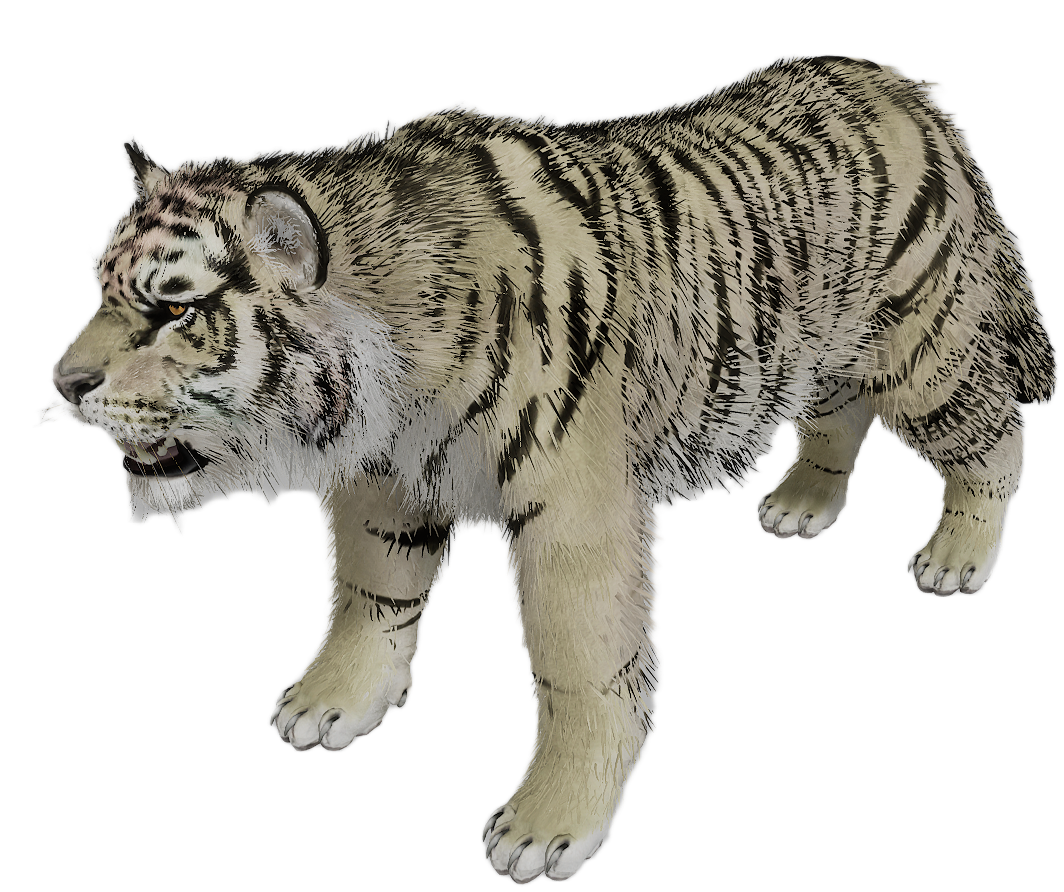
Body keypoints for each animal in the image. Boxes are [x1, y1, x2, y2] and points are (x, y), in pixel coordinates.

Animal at [36, 54, 1058, 884]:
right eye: (99, 286)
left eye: (173, 310)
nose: (63, 382)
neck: (390, 369)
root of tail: (905, 84)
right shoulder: (386, 479)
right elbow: (370, 594)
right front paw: (334, 705)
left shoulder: (575, 514)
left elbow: (580, 668)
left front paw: (546, 829)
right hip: (826, 345)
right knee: (839, 408)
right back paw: (802, 503)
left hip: (923, 346)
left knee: (994, 431)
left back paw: (959, 557)